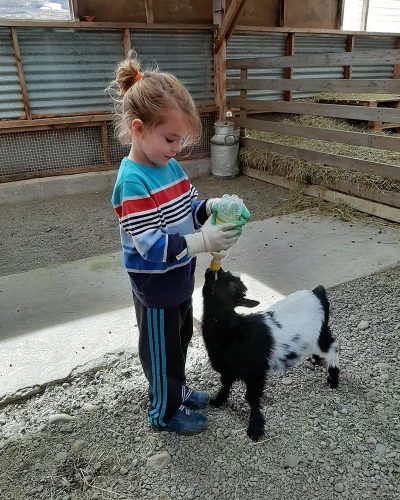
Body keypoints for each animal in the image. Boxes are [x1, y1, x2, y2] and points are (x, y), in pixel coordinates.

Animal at [202, 270, 340, 442]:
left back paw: (333, 379)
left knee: (332, 347)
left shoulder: (255, 374)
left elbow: (252, 398)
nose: (211, 271)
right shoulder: (228, 370)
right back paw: (315, 360)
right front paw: (217, 400)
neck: (235, 330)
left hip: (319, 335)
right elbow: (225, 384)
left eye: (232, 284)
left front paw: (255, 429)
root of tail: (317, 292)